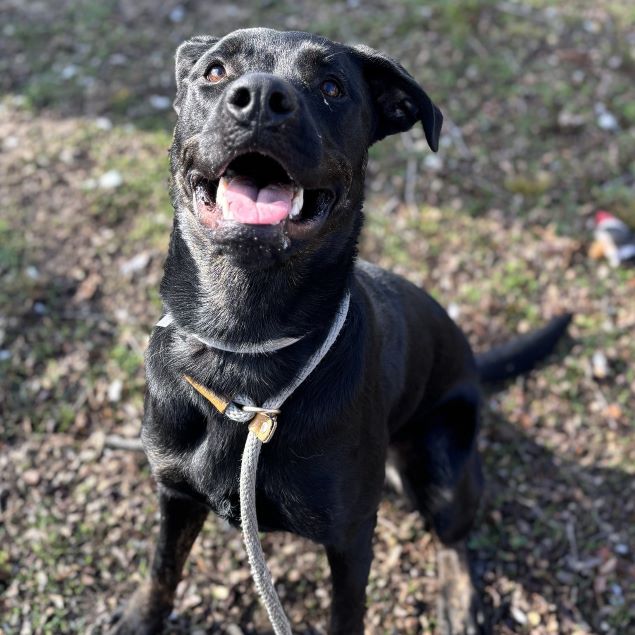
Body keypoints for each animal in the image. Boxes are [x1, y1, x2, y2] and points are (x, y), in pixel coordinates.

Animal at [110, 27, 572, 632]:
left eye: (332, 87)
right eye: (215, 71)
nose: (261, 99)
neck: (244, 345)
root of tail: (473, 361)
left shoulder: (351, 538)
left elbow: (346, 614)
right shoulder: (174, 494)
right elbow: (163, 566)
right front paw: (142, 617)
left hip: (442, 464)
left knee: (454, 535)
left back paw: (459, 597)